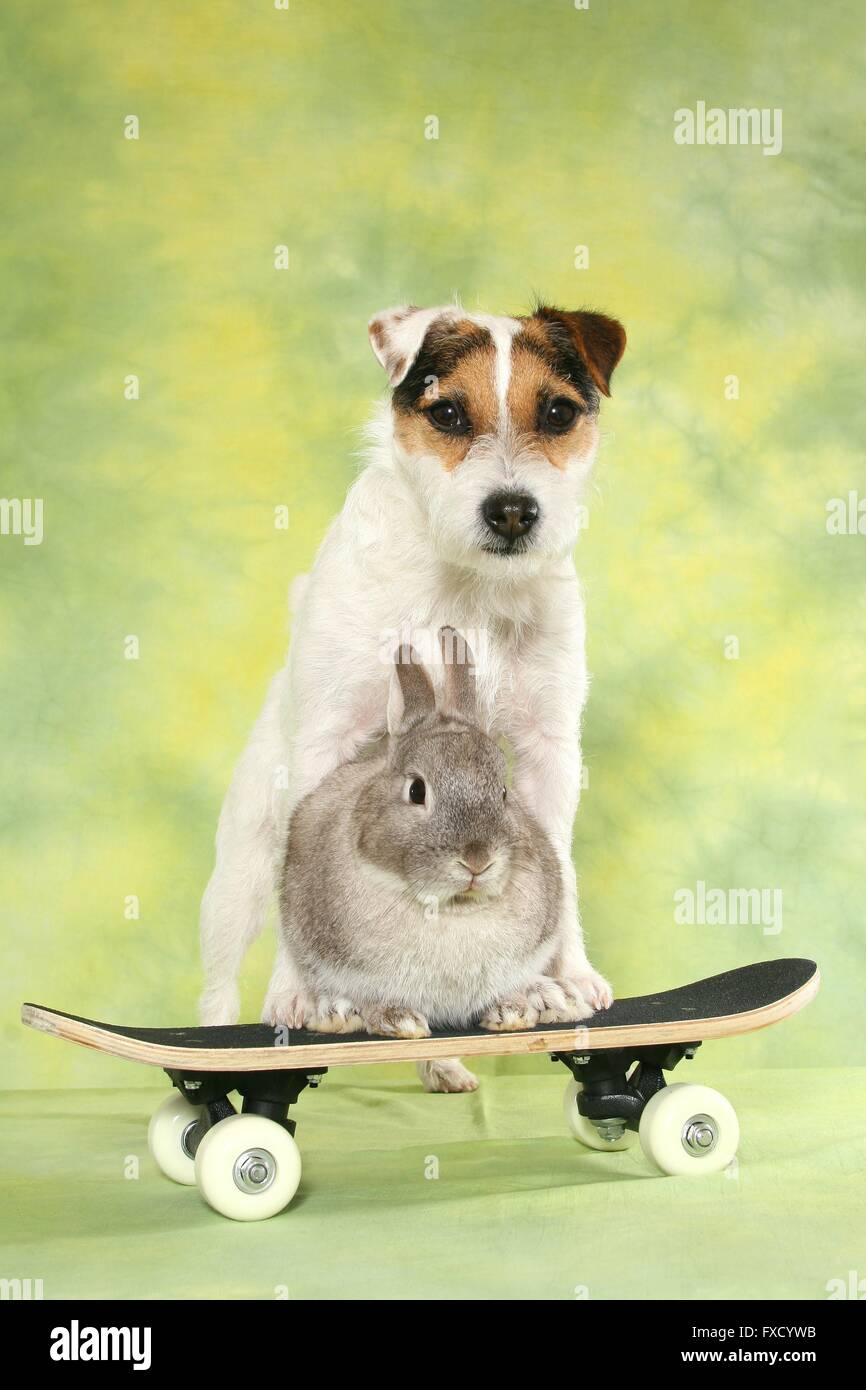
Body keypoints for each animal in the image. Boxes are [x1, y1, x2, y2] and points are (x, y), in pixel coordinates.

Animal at [275, 627, 594, 1039]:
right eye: (417, 791)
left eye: (503, 792)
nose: (477, 860)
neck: (450, 907)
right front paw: (398, 1020)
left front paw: (512, 1011)